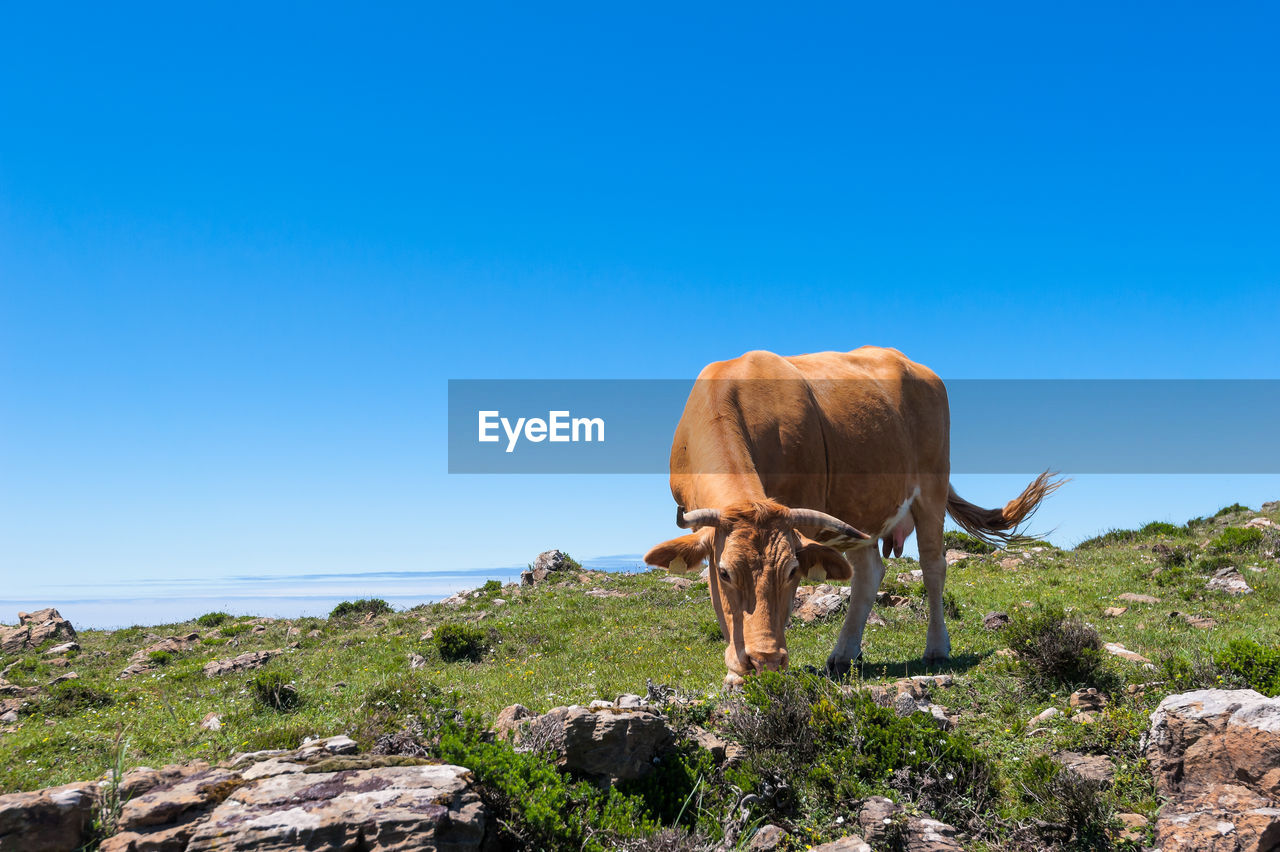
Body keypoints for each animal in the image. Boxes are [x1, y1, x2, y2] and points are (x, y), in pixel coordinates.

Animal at [645, 345, 1064, 685]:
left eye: (793, 572)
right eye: (724, 572)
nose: (766, 660)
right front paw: (735, 671)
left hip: (930, 489)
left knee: (933, 566)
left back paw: (936, 647)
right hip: (859, 512)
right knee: (869, 571)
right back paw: (844, 654)